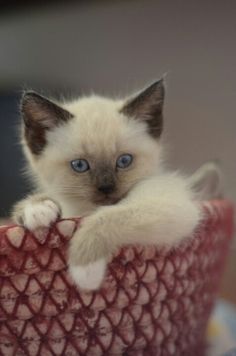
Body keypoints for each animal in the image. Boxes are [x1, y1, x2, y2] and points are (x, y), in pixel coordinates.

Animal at [11, 80, 221, 290]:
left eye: (124, 161)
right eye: (79, 165)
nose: (106, 188)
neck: (82, 210)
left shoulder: (169, 205)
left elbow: (106, 217)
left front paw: (85, 272)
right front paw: (37, 210)